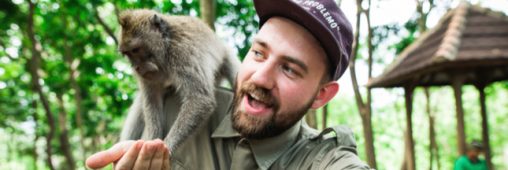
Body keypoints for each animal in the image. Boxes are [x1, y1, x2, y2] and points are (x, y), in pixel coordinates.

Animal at [117, 8, 240, 151]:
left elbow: (200, 99)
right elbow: (152, 101)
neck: (166, 46)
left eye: (136, 50)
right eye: (127, 53)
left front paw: (166, 147)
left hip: (226, 57)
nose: (136, 67)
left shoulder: (182, 53)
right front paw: (152, 140)